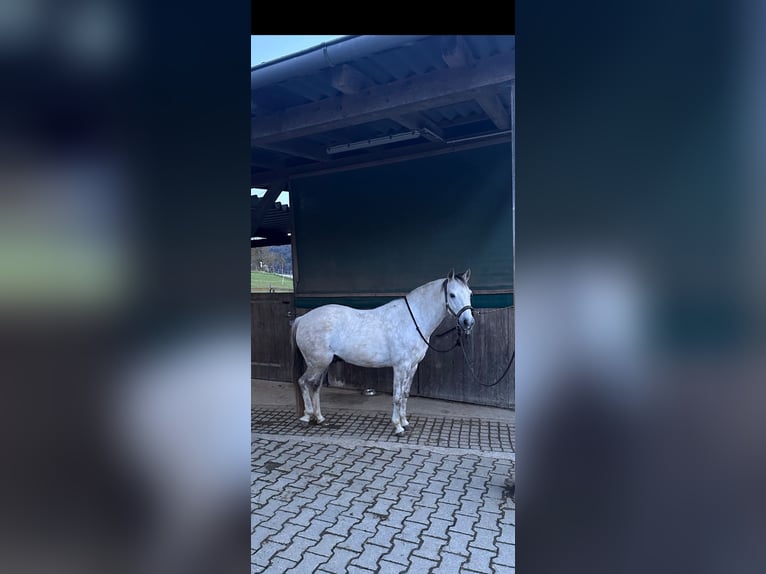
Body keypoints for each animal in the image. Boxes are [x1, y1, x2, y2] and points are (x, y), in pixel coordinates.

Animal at [291, 269, 475, 435]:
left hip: (322, 364)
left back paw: (320, 418)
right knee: (303, 382)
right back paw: (307, 417)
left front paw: (405, 422)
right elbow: (397, 397)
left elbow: (405, 394)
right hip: (316, 364)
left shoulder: (412, 366)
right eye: (452, 295)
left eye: (469, 293)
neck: (412, 320)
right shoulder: (400, 367)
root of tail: (303, 319)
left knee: (315, 386)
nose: (468, 322)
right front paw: (398, 427)